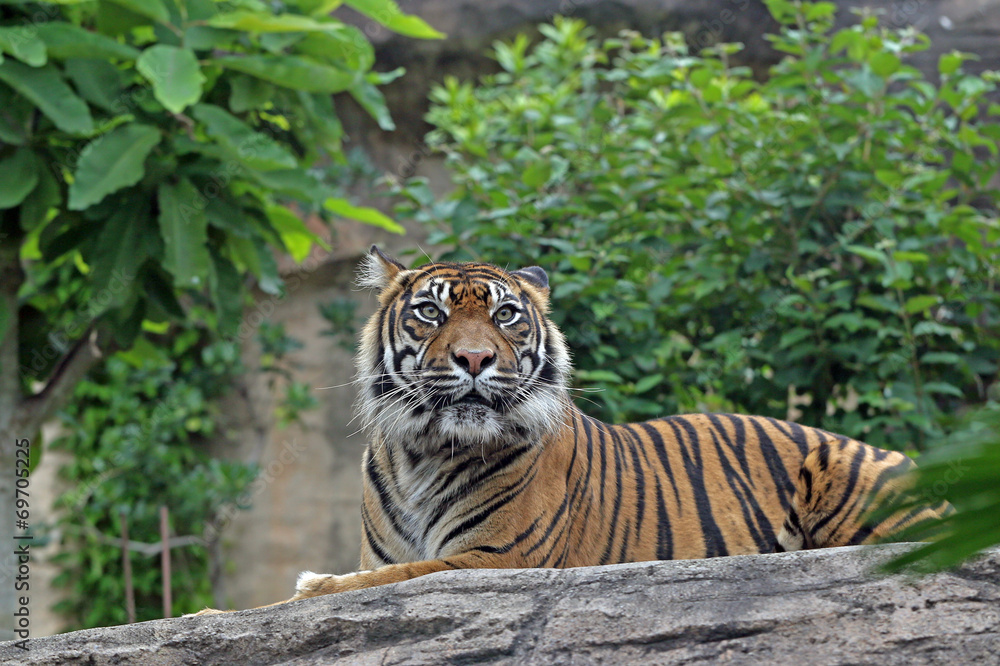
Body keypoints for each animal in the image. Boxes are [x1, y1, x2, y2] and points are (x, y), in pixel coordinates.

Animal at [193, 245, 950, 615]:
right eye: (431, 313)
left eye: (505, 315)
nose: (475, 359)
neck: (422, 452)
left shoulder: (497, 560)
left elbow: (378, 582)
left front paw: (298, 591)